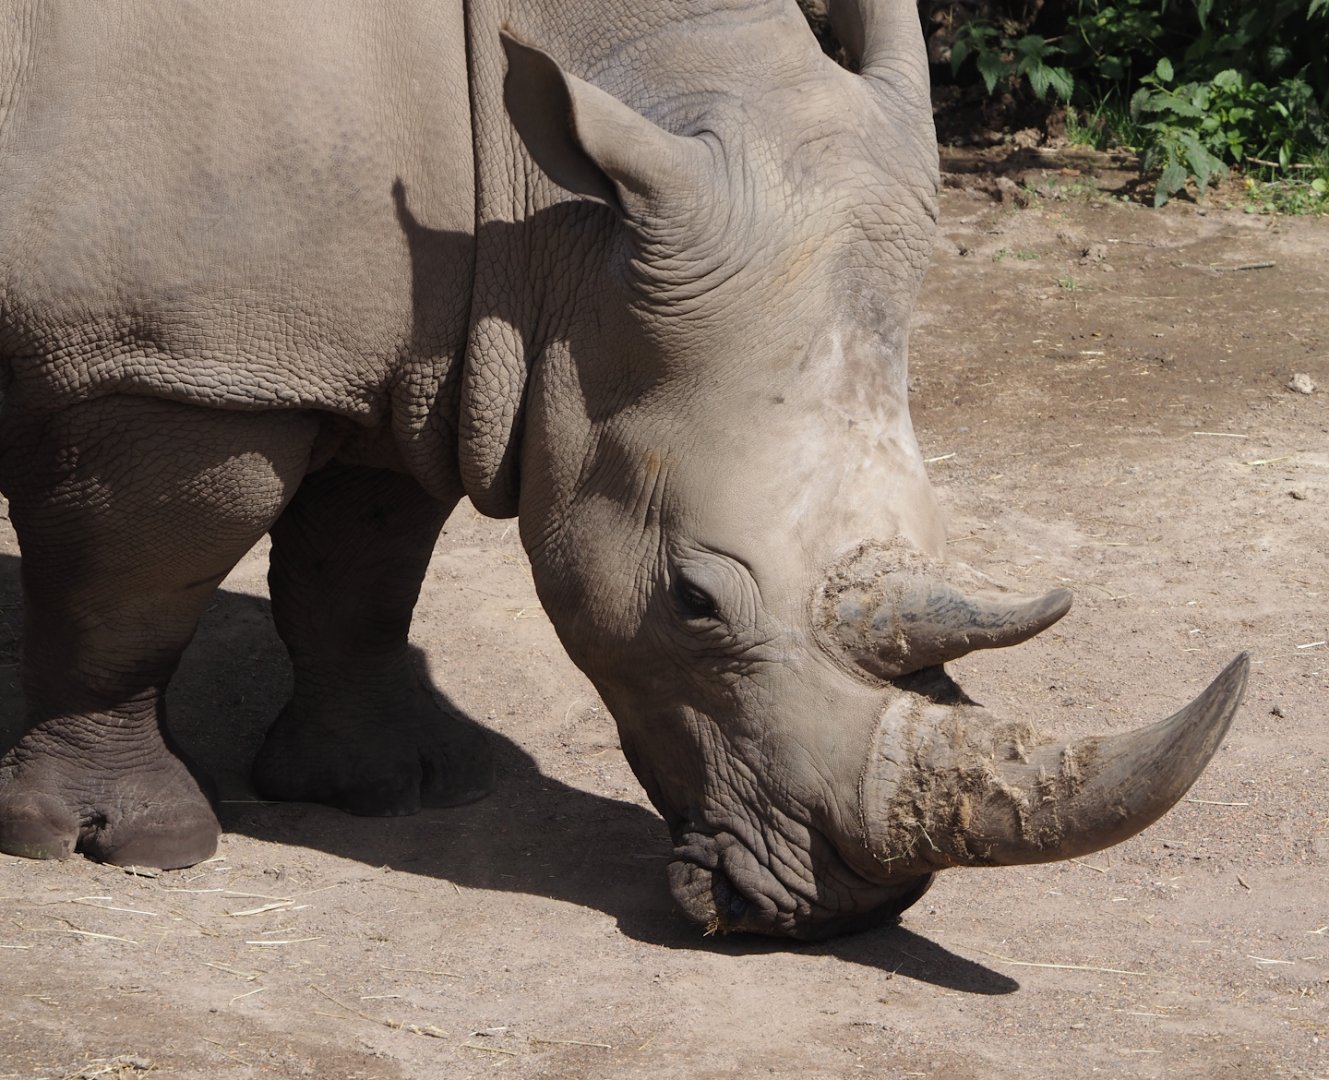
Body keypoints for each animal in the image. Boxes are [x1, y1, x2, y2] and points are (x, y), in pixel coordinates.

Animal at [0, 0, 1246, 939]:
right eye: (694, 600)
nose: (853, 905)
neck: (562, 215)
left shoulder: (411, 354)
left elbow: (359, 575)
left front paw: (385, 790)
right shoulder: (172, 367)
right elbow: (129, 601)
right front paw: (121, 845)